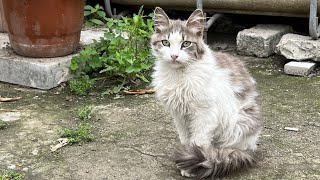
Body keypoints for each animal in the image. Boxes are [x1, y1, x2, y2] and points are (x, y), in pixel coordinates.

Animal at [151, 6, 262, 179]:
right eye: (165, 42)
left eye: (186, 43)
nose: (174, 56)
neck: (178, 75)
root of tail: (251, 148)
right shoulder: (179, 115)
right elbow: (186, 139)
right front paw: (186, 158)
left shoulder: (204, 115)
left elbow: (198, 141)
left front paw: (191, 166)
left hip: (236, 124)